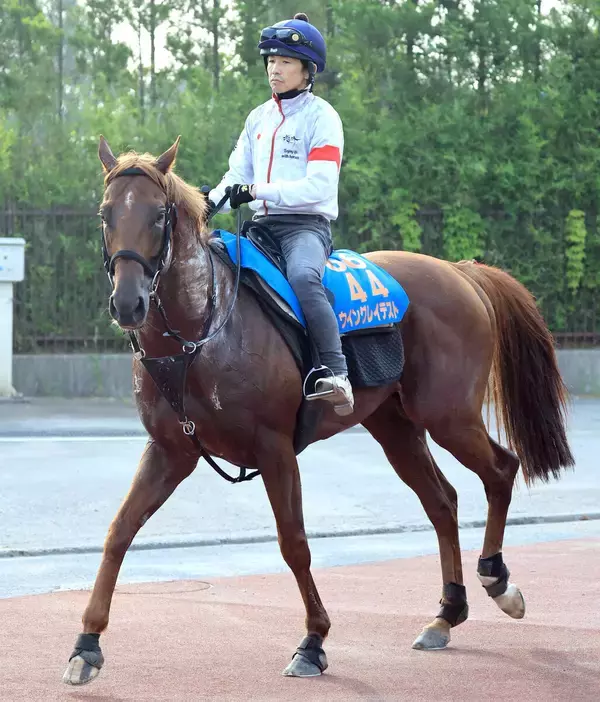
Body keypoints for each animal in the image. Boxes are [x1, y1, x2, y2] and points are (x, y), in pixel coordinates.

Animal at [63, 136, 574, 685]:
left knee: (500, 470)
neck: (206, 327)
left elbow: (294, 543)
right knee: (442, 501)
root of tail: (459, 271)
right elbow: (119, 532)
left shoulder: (274, 450)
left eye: (158, 214)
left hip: (449, 416)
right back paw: (446, 613)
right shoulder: (170, 451)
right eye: (105, 213)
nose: (128, 303)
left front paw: (313, 641)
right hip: (397, 428)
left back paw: (497, 580)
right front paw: (87, 644)